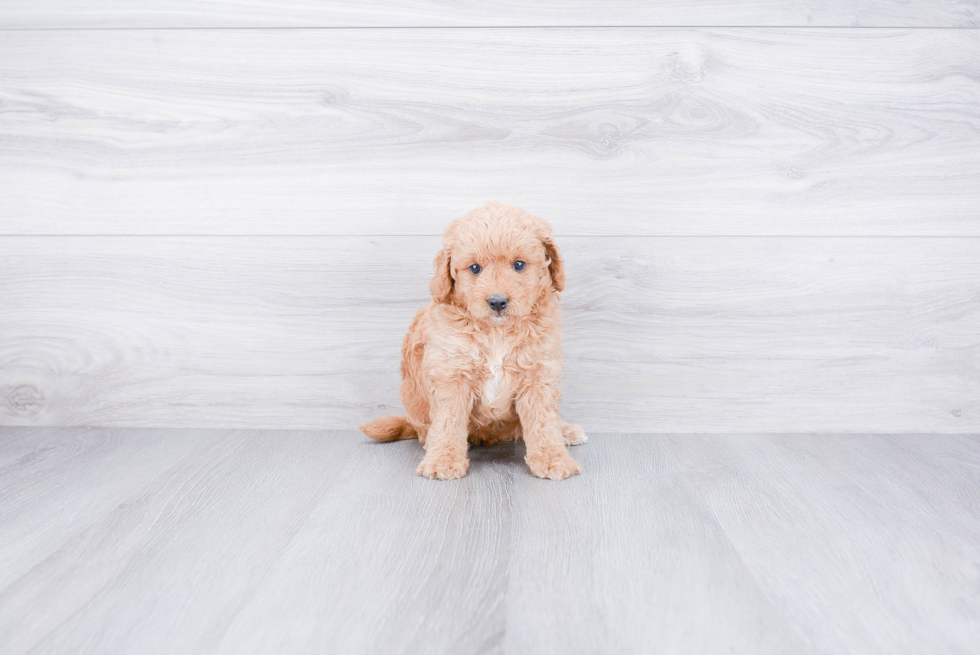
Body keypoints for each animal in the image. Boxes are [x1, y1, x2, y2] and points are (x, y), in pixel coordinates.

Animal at [362, 201, 584, 482]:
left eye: (519, 265)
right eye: (475, 268)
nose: (497, 302)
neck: (496, 332)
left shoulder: (538, 374)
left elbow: (543, 421)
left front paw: (553, 459)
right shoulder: (451, 374)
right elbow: (448, 421)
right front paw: (443, 460)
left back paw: (566, 431)